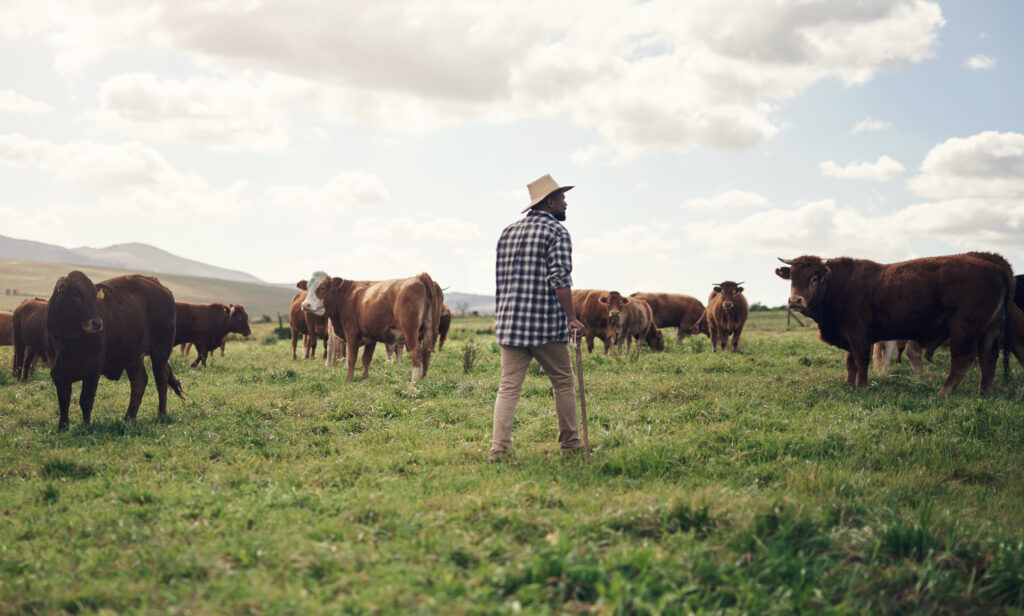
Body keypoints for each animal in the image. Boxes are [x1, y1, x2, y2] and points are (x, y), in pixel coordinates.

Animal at [44, 270, 184, 429]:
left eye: (94, 295)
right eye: (75, 294)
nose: (97, 323)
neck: (69, 340)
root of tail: (158, 284)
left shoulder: (93, 370)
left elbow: (85, 400)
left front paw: (86, 426)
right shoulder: (58, 373)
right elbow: (63, 401)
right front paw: (63, 427)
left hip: (160, 351)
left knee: (161, 379)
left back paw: (161, 414)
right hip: (134, 356)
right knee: (140, 381)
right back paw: (128, 418)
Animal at [299, 270, 438, 378]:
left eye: (322, 287)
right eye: (307, 287)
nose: (305, 305)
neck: (347, 296)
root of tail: (419, 277)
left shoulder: (351, 334)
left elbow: (352, 358)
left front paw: (348, 378)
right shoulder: (371, 337)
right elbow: (366, 358)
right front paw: (364, 377)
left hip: (410, 330)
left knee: (416, 352)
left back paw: (414, 381)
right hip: (428, 329)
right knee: (427, 353)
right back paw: (423, 379)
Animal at [778, 251, 1011, 394]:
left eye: (814, 278)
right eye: (792, 277)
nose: (795, 301)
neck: (841, 284)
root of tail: (993, 264)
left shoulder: (859, 335)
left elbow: (861, 361)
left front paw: (862, 387)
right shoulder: (849, 336)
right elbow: (850, 363)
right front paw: (849, 384)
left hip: (964, 328)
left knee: (963, 359)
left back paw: (944, 391)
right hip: (989, 330)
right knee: (988, 359)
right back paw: (983, 393)